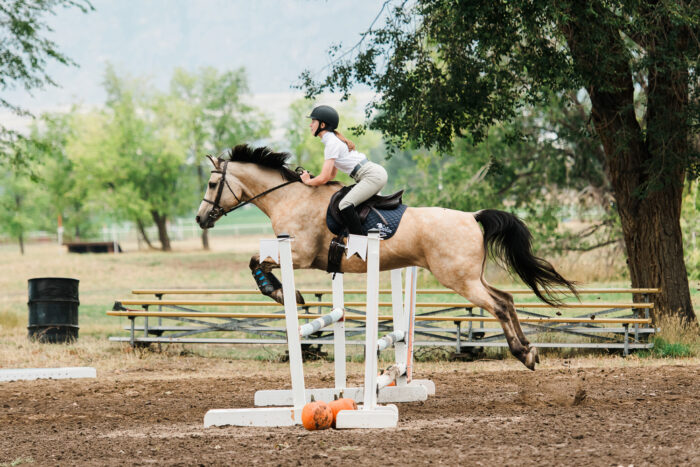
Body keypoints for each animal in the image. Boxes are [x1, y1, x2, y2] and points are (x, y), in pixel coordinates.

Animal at [195, 145, 578, 370]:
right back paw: (528, 349)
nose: (200, 219)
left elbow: (256, 262)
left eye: (213, 185)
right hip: (471, 276)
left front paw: (279, 292)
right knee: (507, 299)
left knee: (497, 305)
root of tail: (473, 216)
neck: (288, 196)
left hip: (458, 278)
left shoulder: (300, 254)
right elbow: (255, 261)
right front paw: (282, 292)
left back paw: (523, 353)